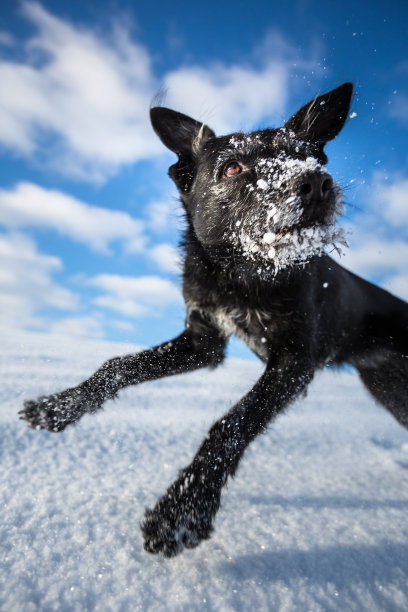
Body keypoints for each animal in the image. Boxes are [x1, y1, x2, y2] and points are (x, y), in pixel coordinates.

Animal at [21, 83, 408, 556]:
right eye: (232, 167)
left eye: (307, 156)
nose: (316, 182)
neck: (239, 274)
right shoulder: (203, 342)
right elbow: (118, 365)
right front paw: (60, 406)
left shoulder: (296, 361)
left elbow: (231, 423)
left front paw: (182, 511)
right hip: (391, 390)